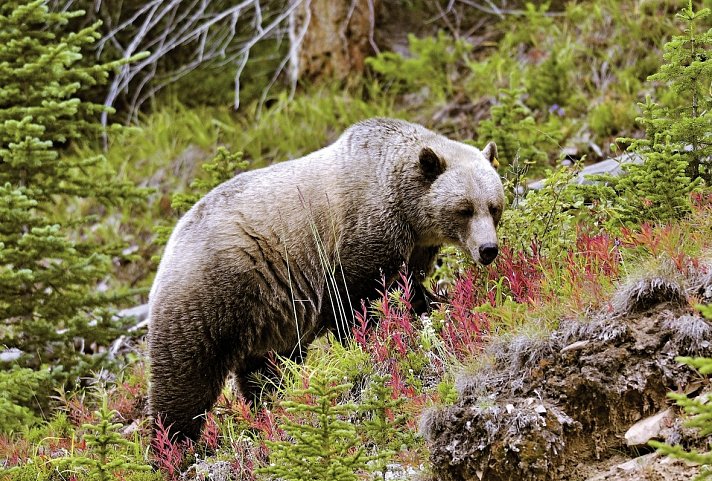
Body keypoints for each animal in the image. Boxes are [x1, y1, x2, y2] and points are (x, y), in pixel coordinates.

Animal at [149, 118, 506, 440]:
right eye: (464, 209)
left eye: (493, 206)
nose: (488, 249)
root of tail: (172, 241)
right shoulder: (357, 236)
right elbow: (355, 303)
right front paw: (368, 342)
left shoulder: (413, 247)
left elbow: (409, 290)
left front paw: (439, 304)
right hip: (214, 293)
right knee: (186, 378)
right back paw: (174, 446)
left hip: (268, 316)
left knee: (266, 370)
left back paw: (271, 408)